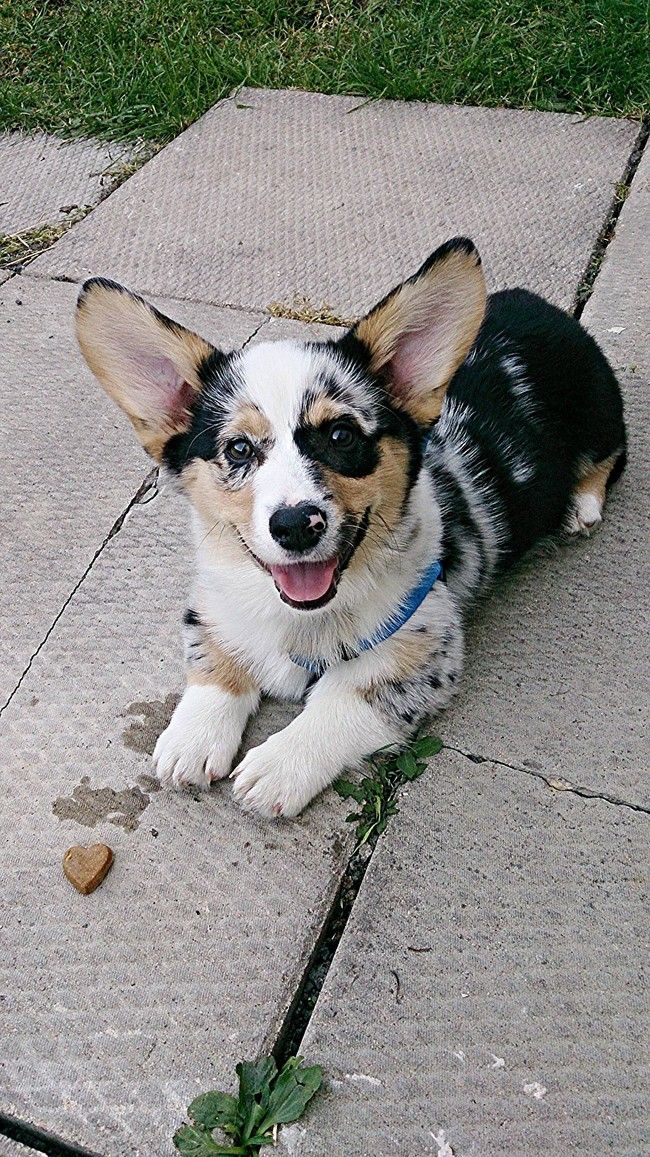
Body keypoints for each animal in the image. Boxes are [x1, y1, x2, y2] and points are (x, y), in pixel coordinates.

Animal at [75, 237, 624, 814]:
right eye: (239, 449)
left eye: (341, 435)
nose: (296, 524)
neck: (302, 617)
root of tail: (539, 305)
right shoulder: (214, 602)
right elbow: (214, 658)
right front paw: (192, 739)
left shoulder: (423, 647)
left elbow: (339, 703)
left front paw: (278, 767)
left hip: (601, 411)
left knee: (611, 455)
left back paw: (582, 507)